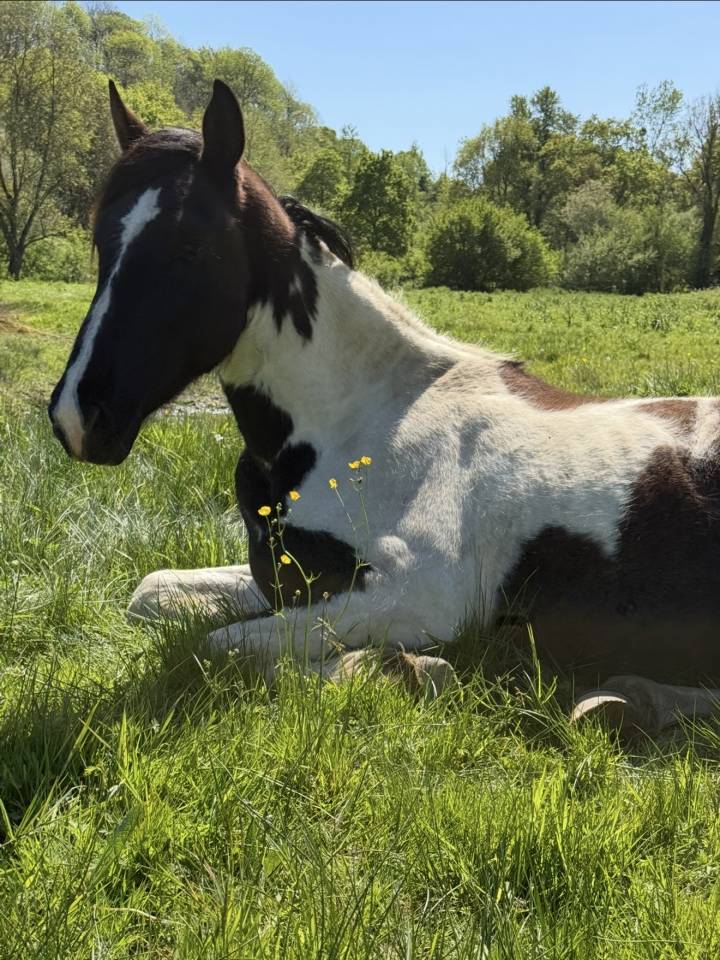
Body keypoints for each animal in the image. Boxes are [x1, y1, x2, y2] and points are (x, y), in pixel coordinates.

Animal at [49, 79, 720, 736]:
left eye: (190, 248)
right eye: (101, 241)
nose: (78, 418)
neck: (363, 424)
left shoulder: (415, 596)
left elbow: (217, 649)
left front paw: (404, 670)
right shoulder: (298, 585)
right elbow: (154, 595)